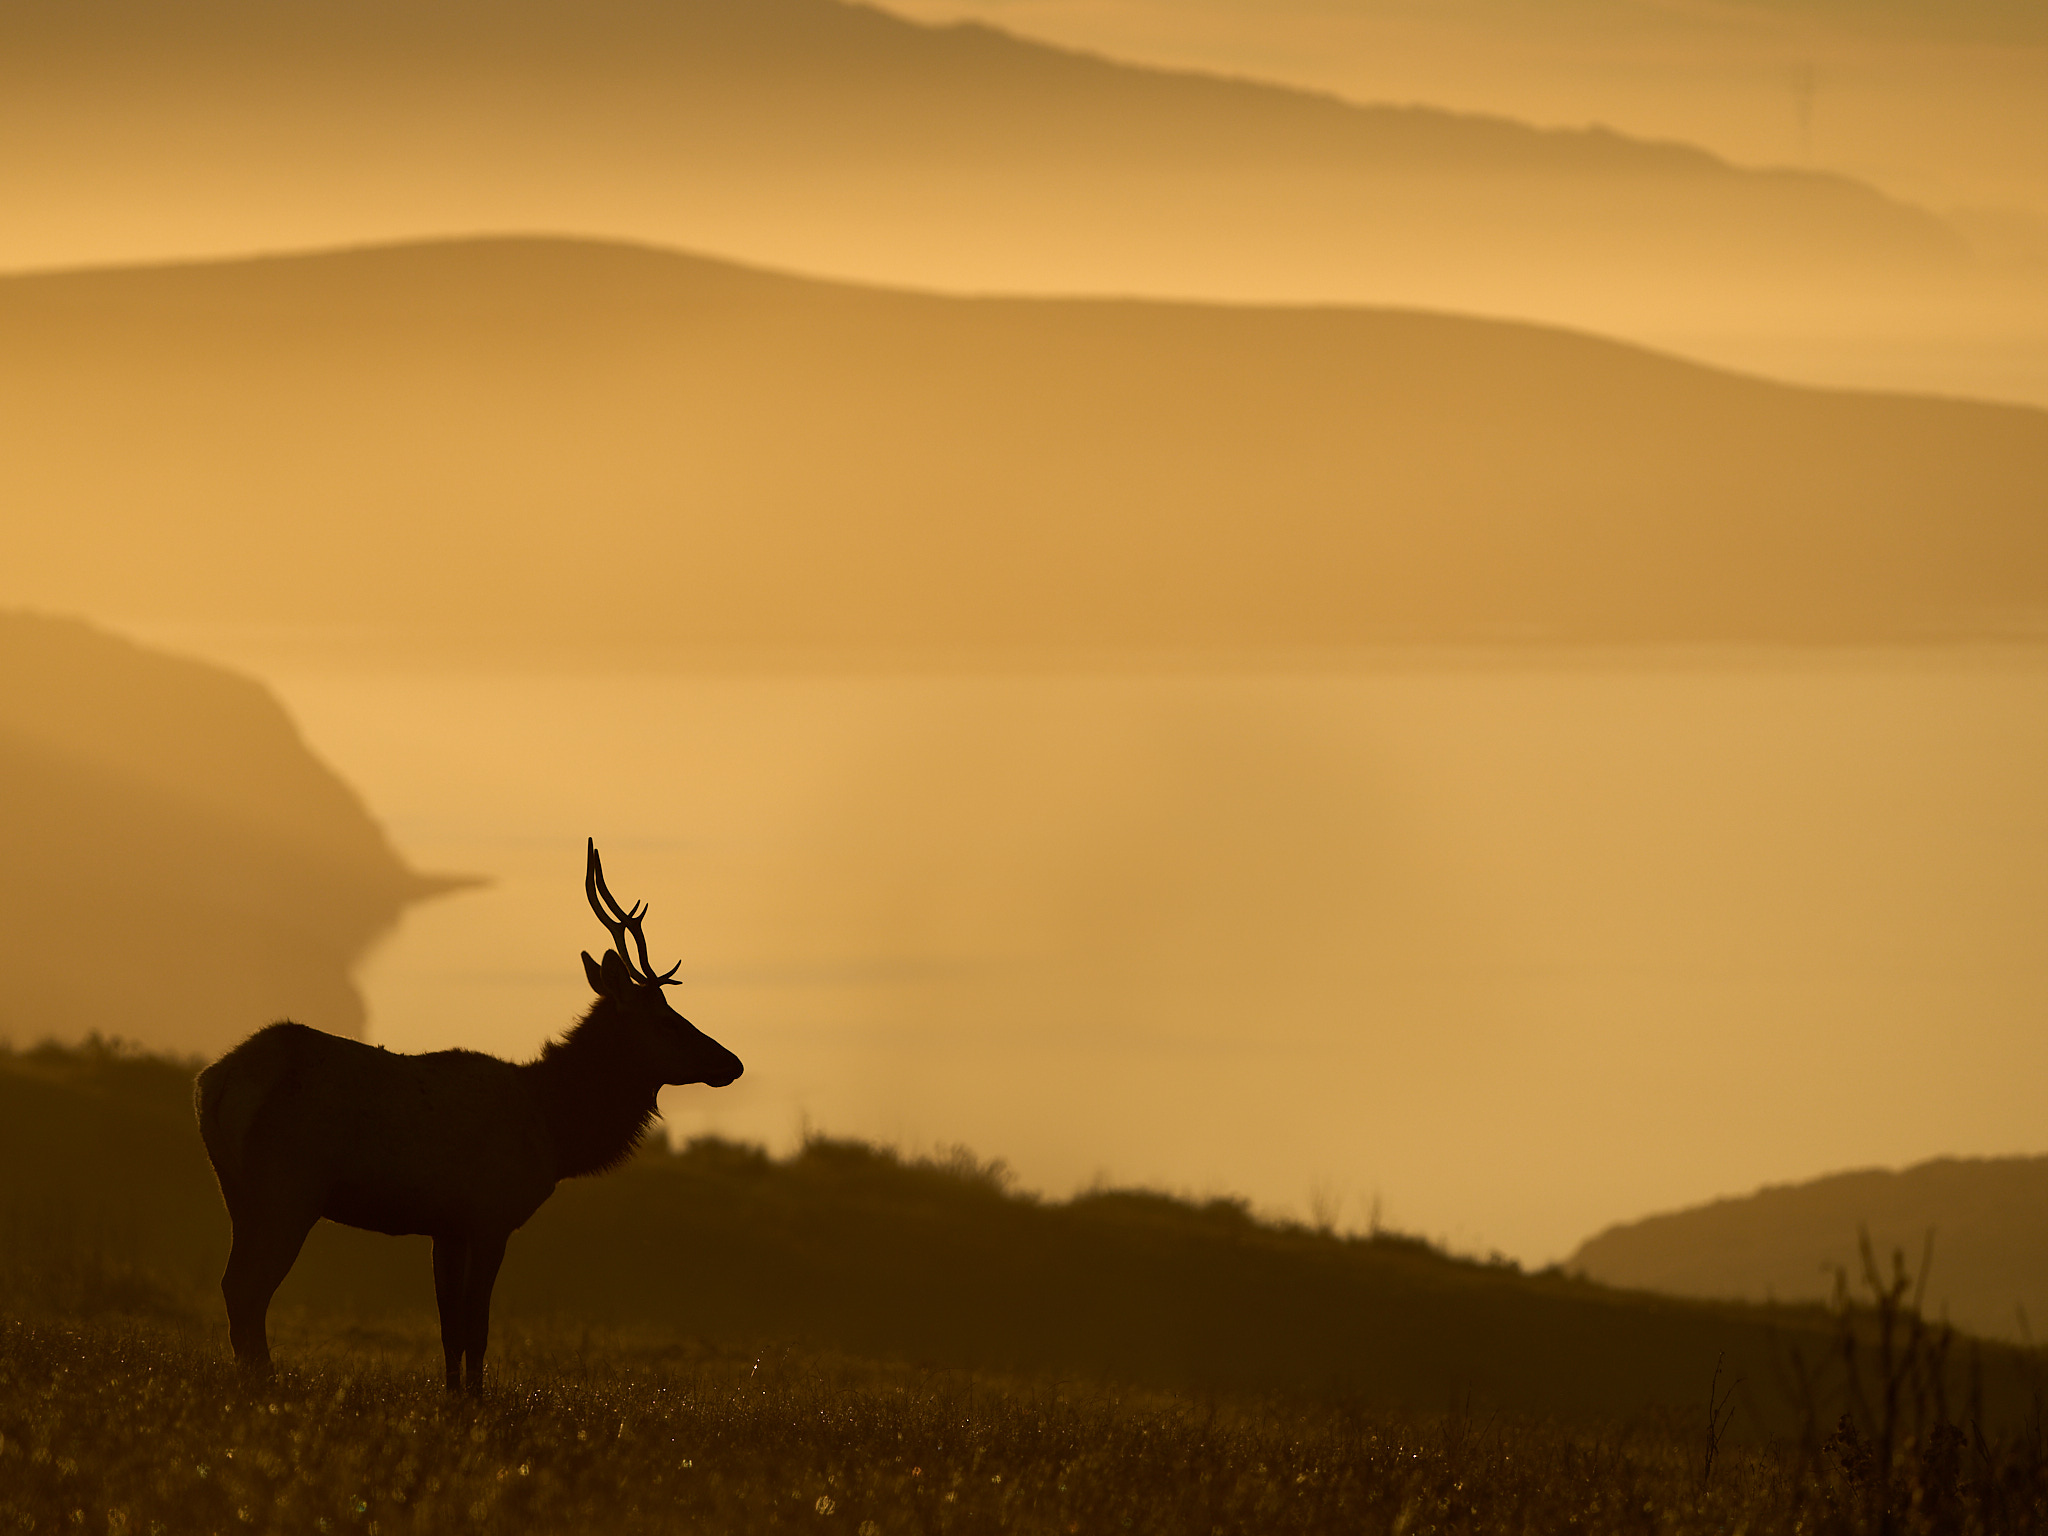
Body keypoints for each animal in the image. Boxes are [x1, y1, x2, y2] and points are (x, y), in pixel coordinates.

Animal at [194, 839, 742, 1393]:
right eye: (666, 1019)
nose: (732, 1062)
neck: (555, 1129)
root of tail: (216, 1080)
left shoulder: (447, 1226)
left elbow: (449, 1328)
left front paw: (453, 1394)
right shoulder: (491, 1214)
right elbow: (477, 1324)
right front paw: (478, 1398)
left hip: (235, 1188)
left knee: (232, 1284)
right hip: (288, 1187)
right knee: (247, 1288)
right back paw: (265, 1382)